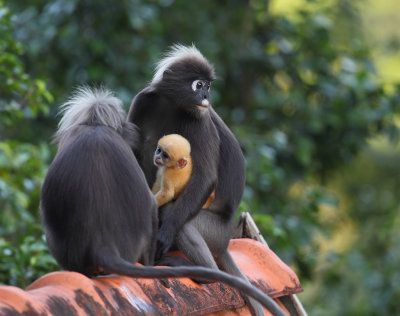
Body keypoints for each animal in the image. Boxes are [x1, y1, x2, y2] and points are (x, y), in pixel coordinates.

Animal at [126, 45, 286, 316]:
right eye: (198, 84)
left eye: (208, 86)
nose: (205, 97)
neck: (173, 105)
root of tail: (225, 242)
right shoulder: (143, 101)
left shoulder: (200, 119)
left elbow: (205, 177)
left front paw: (164, 235)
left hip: (214, 232)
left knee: (183, 223)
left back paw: (203, 274)